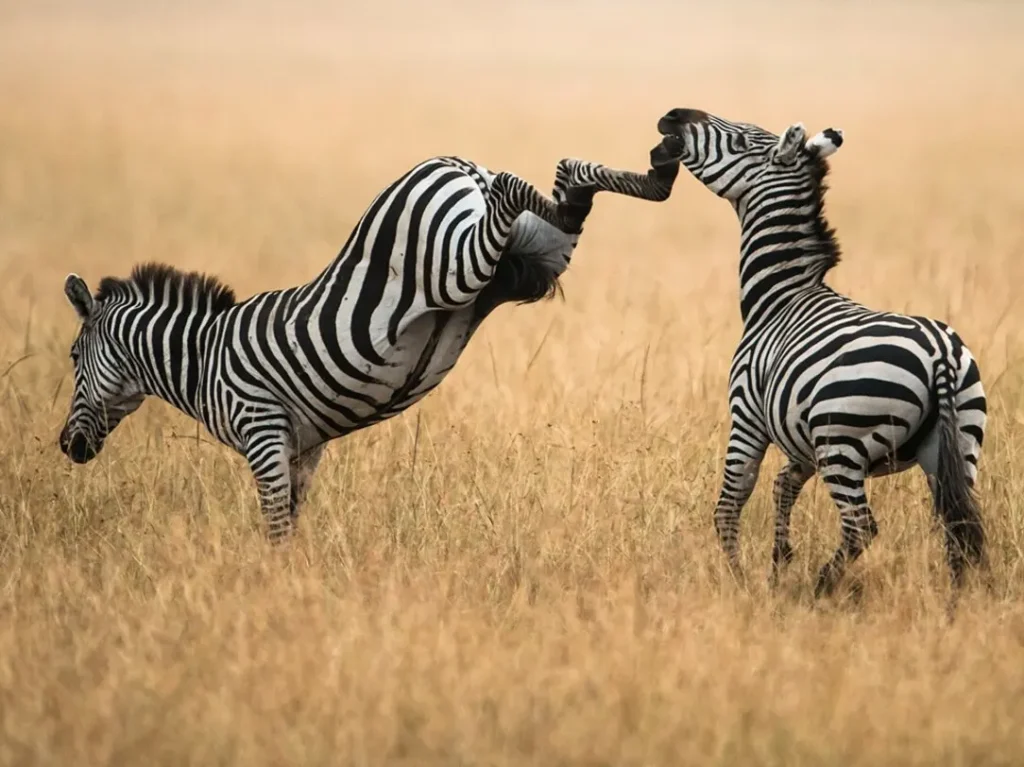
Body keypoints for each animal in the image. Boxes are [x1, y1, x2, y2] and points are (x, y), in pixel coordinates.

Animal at [59, 148, 681, 541]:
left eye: (71, 358)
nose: (67, 446)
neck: (201, 358)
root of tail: (456, 165)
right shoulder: (302, 448)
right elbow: (291, 524)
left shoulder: (262, 432)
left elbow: (274, 526)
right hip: (536, 257)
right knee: (569, 184)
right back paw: (657, 173)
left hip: (454, 265)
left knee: (512, 183)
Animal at [655, 108, 987, 596]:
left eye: (739, 142)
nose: (672, 116)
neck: (780, 296)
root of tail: (939, 353)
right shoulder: (800, 440)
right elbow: (782, 487)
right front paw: (777, 563)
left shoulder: (748, 416)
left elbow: (731, 501)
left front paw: (739, 579)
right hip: (958, 441)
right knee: (959, 523)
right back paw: (956, 601)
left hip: (842, 441)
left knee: (861, 526)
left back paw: (821, 587)